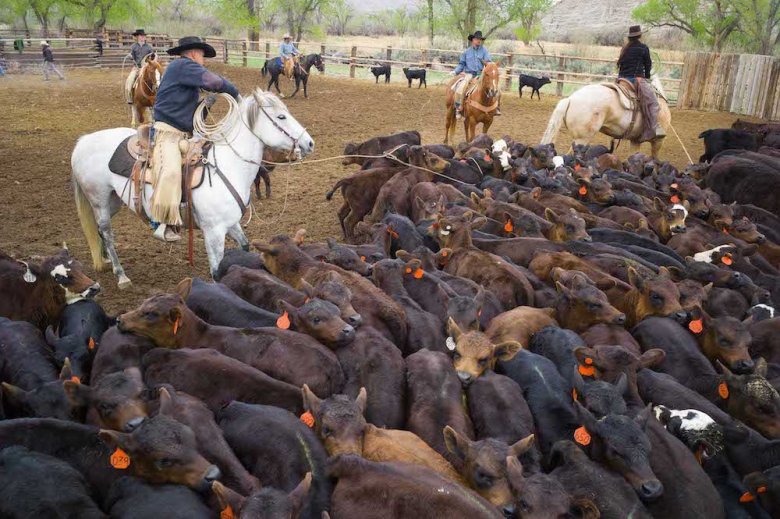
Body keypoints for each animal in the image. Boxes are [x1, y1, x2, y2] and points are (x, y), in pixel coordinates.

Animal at [71, 89, 314, 289]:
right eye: (281, 117)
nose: (309, 143)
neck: (227, 166)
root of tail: (83, 142)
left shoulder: (230, 223)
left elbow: (244, 245)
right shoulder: (213, 231)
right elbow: (216, 270)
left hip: (114, 201)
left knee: (100, 231)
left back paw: (105, 260)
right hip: (100, 200)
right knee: (107, 233)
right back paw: (121, 275)